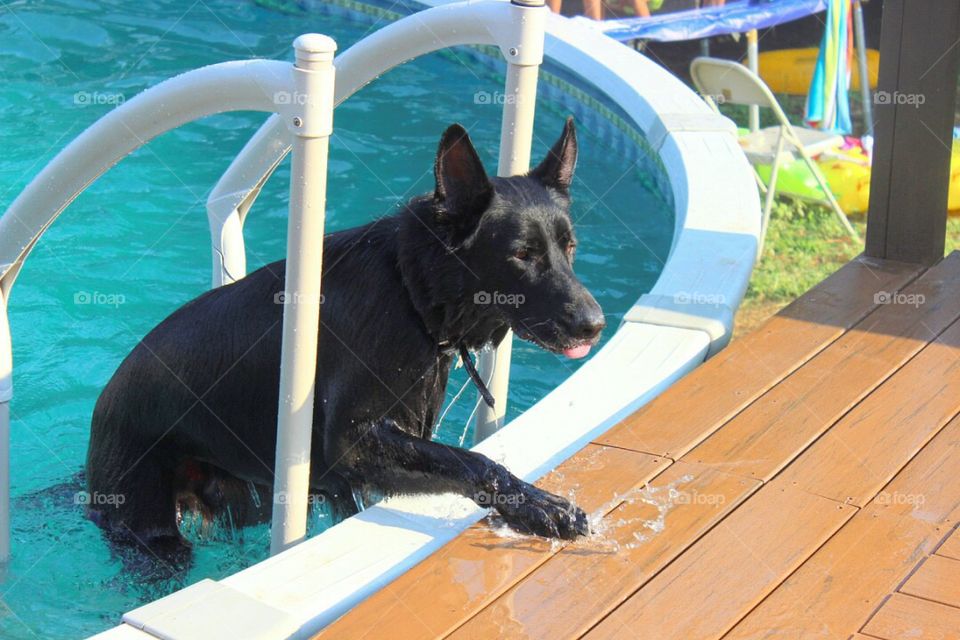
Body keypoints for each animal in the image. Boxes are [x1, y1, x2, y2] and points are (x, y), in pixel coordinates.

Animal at [86, 116, 604, 556]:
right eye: (522, 254)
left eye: (569, 247)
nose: (595, 324)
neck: (410, 290)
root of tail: (106, 399)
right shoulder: (353, 444)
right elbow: (472, 462)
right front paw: (539, 507)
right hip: (151, 523)